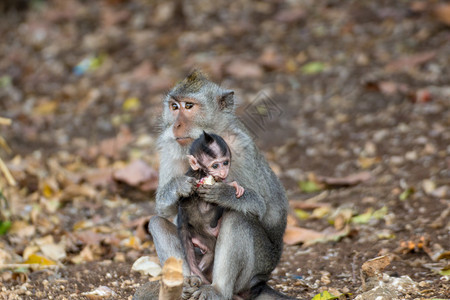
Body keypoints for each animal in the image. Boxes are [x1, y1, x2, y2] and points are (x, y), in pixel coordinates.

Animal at [178, 131, 244, 284]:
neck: (202, 173)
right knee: (211, 249)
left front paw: (234, 185)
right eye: (215, 166)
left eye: (225, 163)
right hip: (201, 233)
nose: (223, 172)